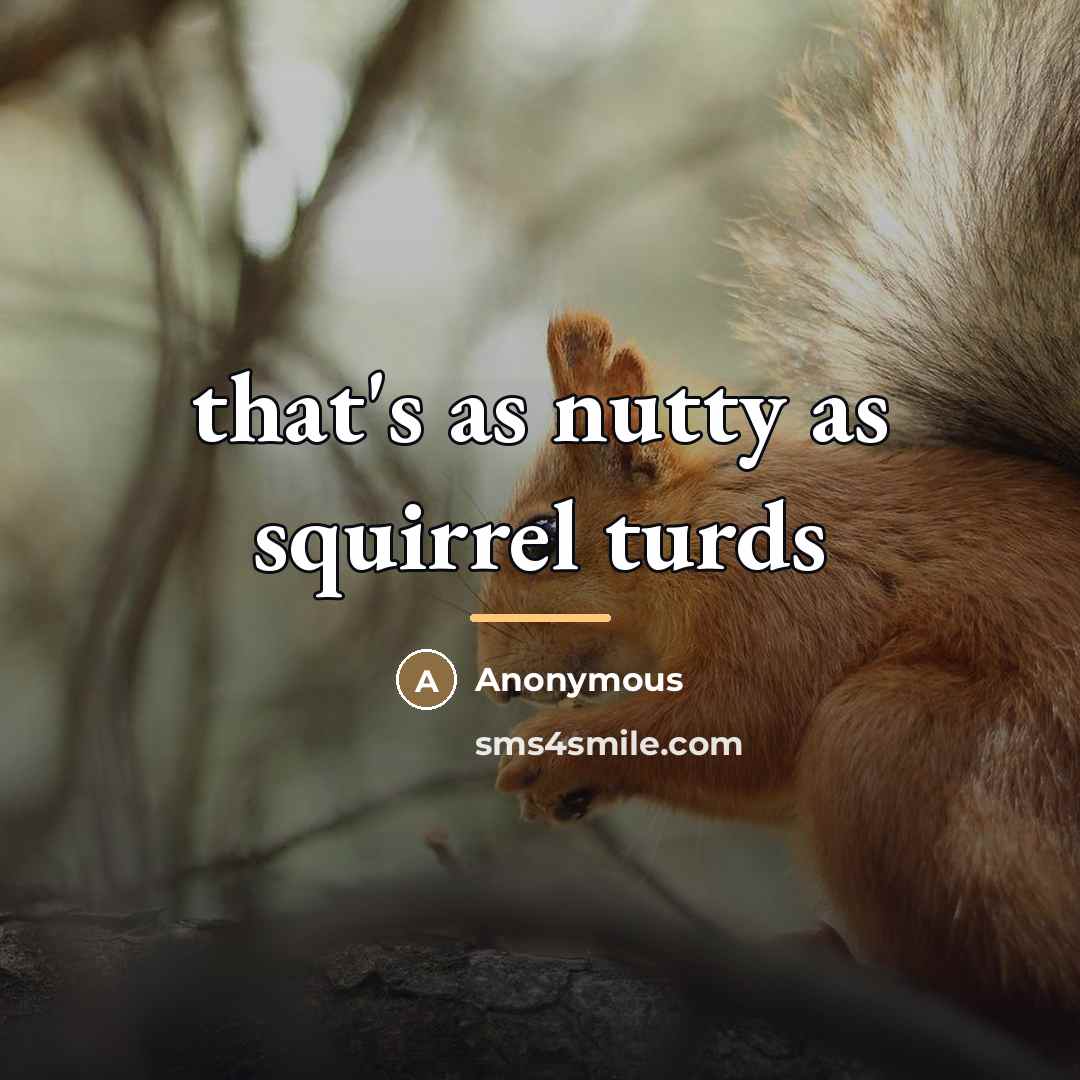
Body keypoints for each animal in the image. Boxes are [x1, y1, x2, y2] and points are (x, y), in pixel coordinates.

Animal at [475, 0, 1080, 1024]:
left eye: (538, 543)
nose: (488, 670)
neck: (698, 530)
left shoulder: (783, 601)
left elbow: (741, 719)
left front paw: (549, 748)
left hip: (911, 751)